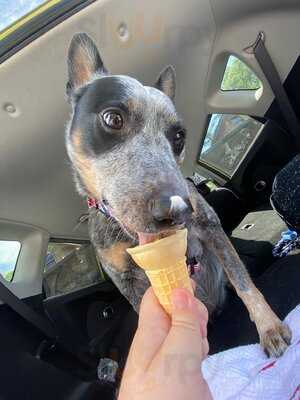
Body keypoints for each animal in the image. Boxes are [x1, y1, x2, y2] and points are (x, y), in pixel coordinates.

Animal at [65, 32, 290, 356]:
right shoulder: (126, 279)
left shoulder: (211, 228)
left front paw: (268, 327)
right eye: (113, 119)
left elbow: (244, 282)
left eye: (179, 137)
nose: (178, 209)